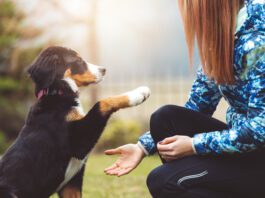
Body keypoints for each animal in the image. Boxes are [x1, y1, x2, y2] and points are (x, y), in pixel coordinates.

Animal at [0, 46, 150, 198]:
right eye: (78, 61)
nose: (104, 69)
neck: (58, 93)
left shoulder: (71, 184)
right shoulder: (78, 142)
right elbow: (102, 102)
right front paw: (138, 94)